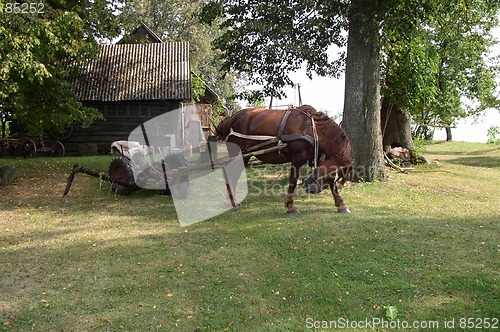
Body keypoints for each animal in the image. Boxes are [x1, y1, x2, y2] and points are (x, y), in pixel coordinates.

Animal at [217, 104, 354, 213]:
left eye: (337, 176)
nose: (310, 188)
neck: (310, 128)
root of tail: (231, 119)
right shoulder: (297, 159)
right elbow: (293, 181)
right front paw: (290, 206)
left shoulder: (318, 159)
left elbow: (332, 186)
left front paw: (341, 204)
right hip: (239, 154)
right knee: (233, 174)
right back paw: (231, 201)